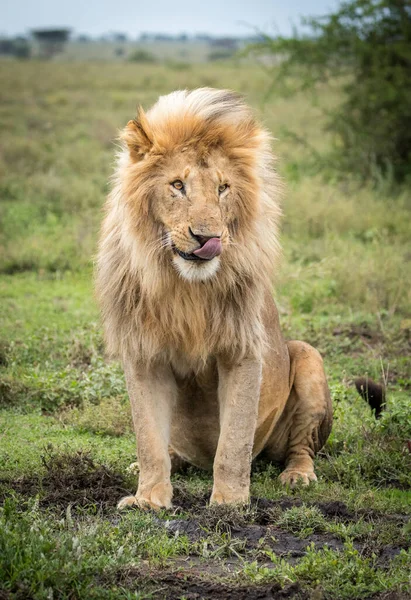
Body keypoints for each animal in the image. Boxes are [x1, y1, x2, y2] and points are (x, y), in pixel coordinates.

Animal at [96, 88, 332, 510]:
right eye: (177, 185)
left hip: (307, 356)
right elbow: (148, 440)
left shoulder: (242, 350)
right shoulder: (142, 354)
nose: (208, 238)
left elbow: (233, 442)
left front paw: (229, 503)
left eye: (223, 188)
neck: (184, 287)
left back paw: (298, 476)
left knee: (301, 447)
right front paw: (148, 499)